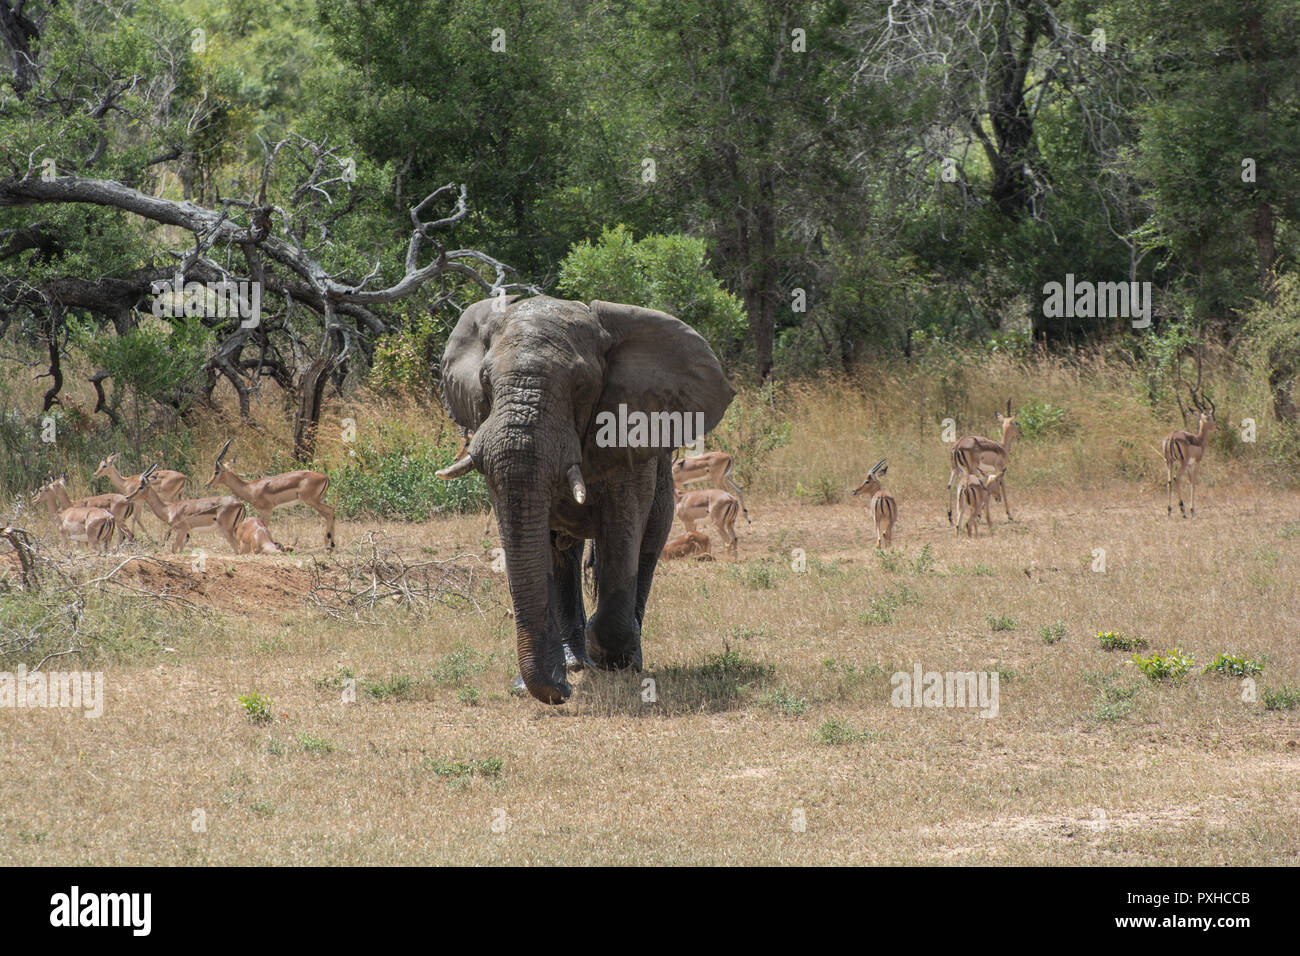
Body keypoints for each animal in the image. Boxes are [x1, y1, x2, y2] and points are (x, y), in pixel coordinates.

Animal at [436, 295, 735, 704]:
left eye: (581, 386)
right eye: (485, 382)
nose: (562, 692)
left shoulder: (630, 434)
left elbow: (623, 530)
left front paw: (608, 655)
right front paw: (541, 679)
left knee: (649, 543)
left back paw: (623, 657)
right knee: (563, 555)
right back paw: (575, 662)